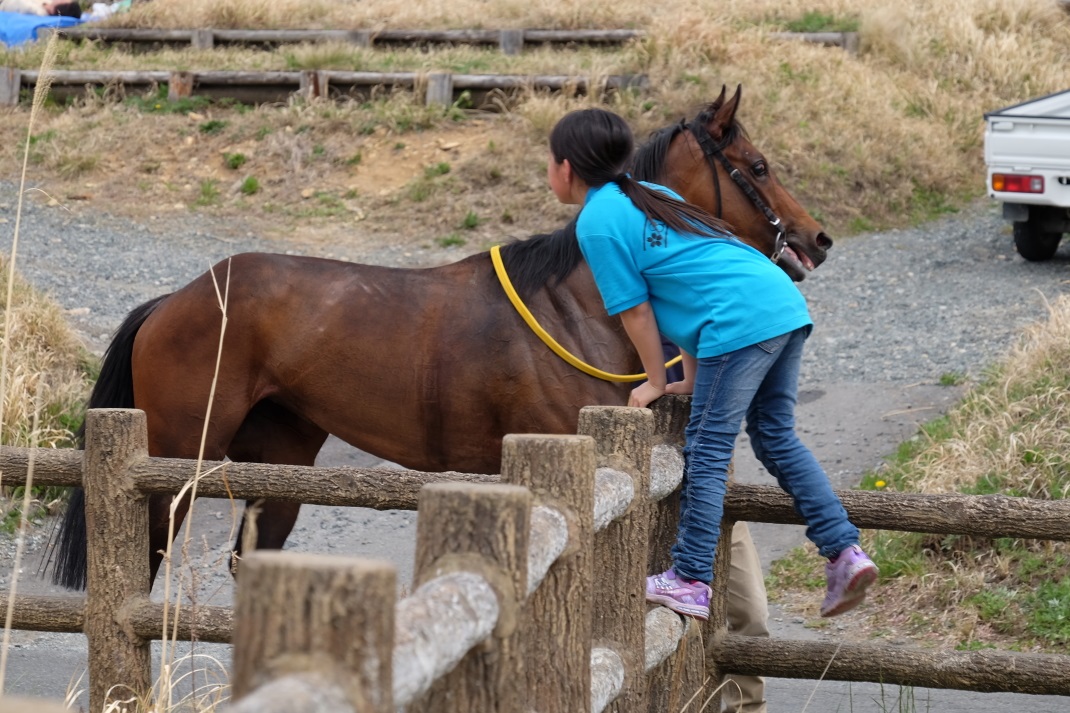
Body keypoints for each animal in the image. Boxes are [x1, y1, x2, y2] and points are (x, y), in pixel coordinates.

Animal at [54, 83, 830, 586]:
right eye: (759, 167)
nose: (816, 239)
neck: (570, 307)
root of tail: (174, 301)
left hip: (280, 465)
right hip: (170, 465)